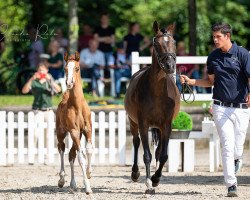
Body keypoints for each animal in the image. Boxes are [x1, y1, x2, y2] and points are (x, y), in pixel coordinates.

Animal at [56, 51, 93, 194]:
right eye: (65, 68)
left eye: (77, 68)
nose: (69, 83)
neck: (77, 105)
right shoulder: (74, 131)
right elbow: (81, 158)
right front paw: (88, 187)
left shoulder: (87, 130)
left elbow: (88, 150)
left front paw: (89, 173)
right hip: (61, 132)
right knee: (61, 149)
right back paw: (61, 180)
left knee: (71, 154)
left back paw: (73, 184)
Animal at [124, 20, 180, 194]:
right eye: (157, 43)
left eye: (174, 42)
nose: (169, 66)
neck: (157, 91)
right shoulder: (143, 123)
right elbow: (146, 155)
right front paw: (148, 182)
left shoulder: (166, 125)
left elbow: (163, 155)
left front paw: (156, 179)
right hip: (133, 122)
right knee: (136, 142)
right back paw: (135, 173)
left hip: (159, 128)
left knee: (158, 150)